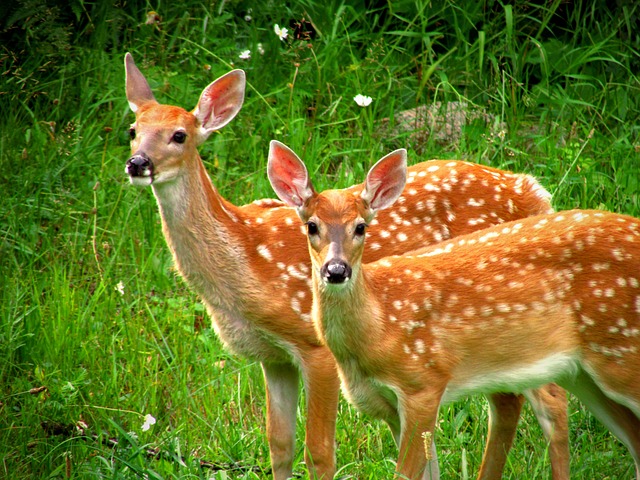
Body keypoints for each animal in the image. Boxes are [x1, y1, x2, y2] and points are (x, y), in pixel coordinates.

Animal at [124, 50, 568, 478]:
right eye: (132, 131)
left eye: (179, 135)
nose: (138, 163)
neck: (245, 261)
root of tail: (534, 192)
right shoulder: (273, 357)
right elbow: (279, 445)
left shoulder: (314, 345)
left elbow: (320, 453)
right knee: (507, 402)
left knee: (546, 400)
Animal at [266, 144, 640, 478]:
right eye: (311, 225)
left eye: (360, 227)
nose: (336, 270)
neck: (380, 322)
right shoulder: (388, 405)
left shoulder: (423, 383)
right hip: (582, 374)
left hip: (621, 354)